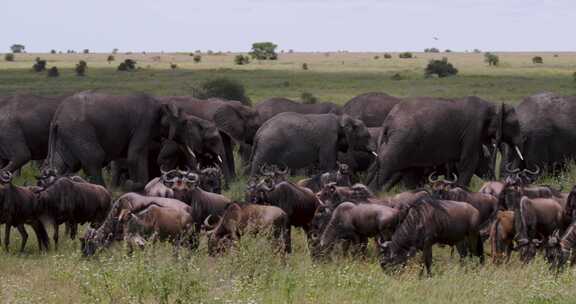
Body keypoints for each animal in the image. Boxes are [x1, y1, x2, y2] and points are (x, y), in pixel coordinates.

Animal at [44, 91, 189, 190]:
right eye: (184, 122)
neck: (161, 103)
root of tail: (57, 114)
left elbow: (140, 156)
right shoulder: (145, 123)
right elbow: (134, 155)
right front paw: (132, 186)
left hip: (66, 133)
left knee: (63, 163)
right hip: (79, 130)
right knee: (95, 158)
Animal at [366, 97, 524, 191]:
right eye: (514, 124)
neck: (492, 105)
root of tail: (387, 122)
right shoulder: (473, 130)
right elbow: (469, 162)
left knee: (408, 173)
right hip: (398, 143)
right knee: (386, 169)